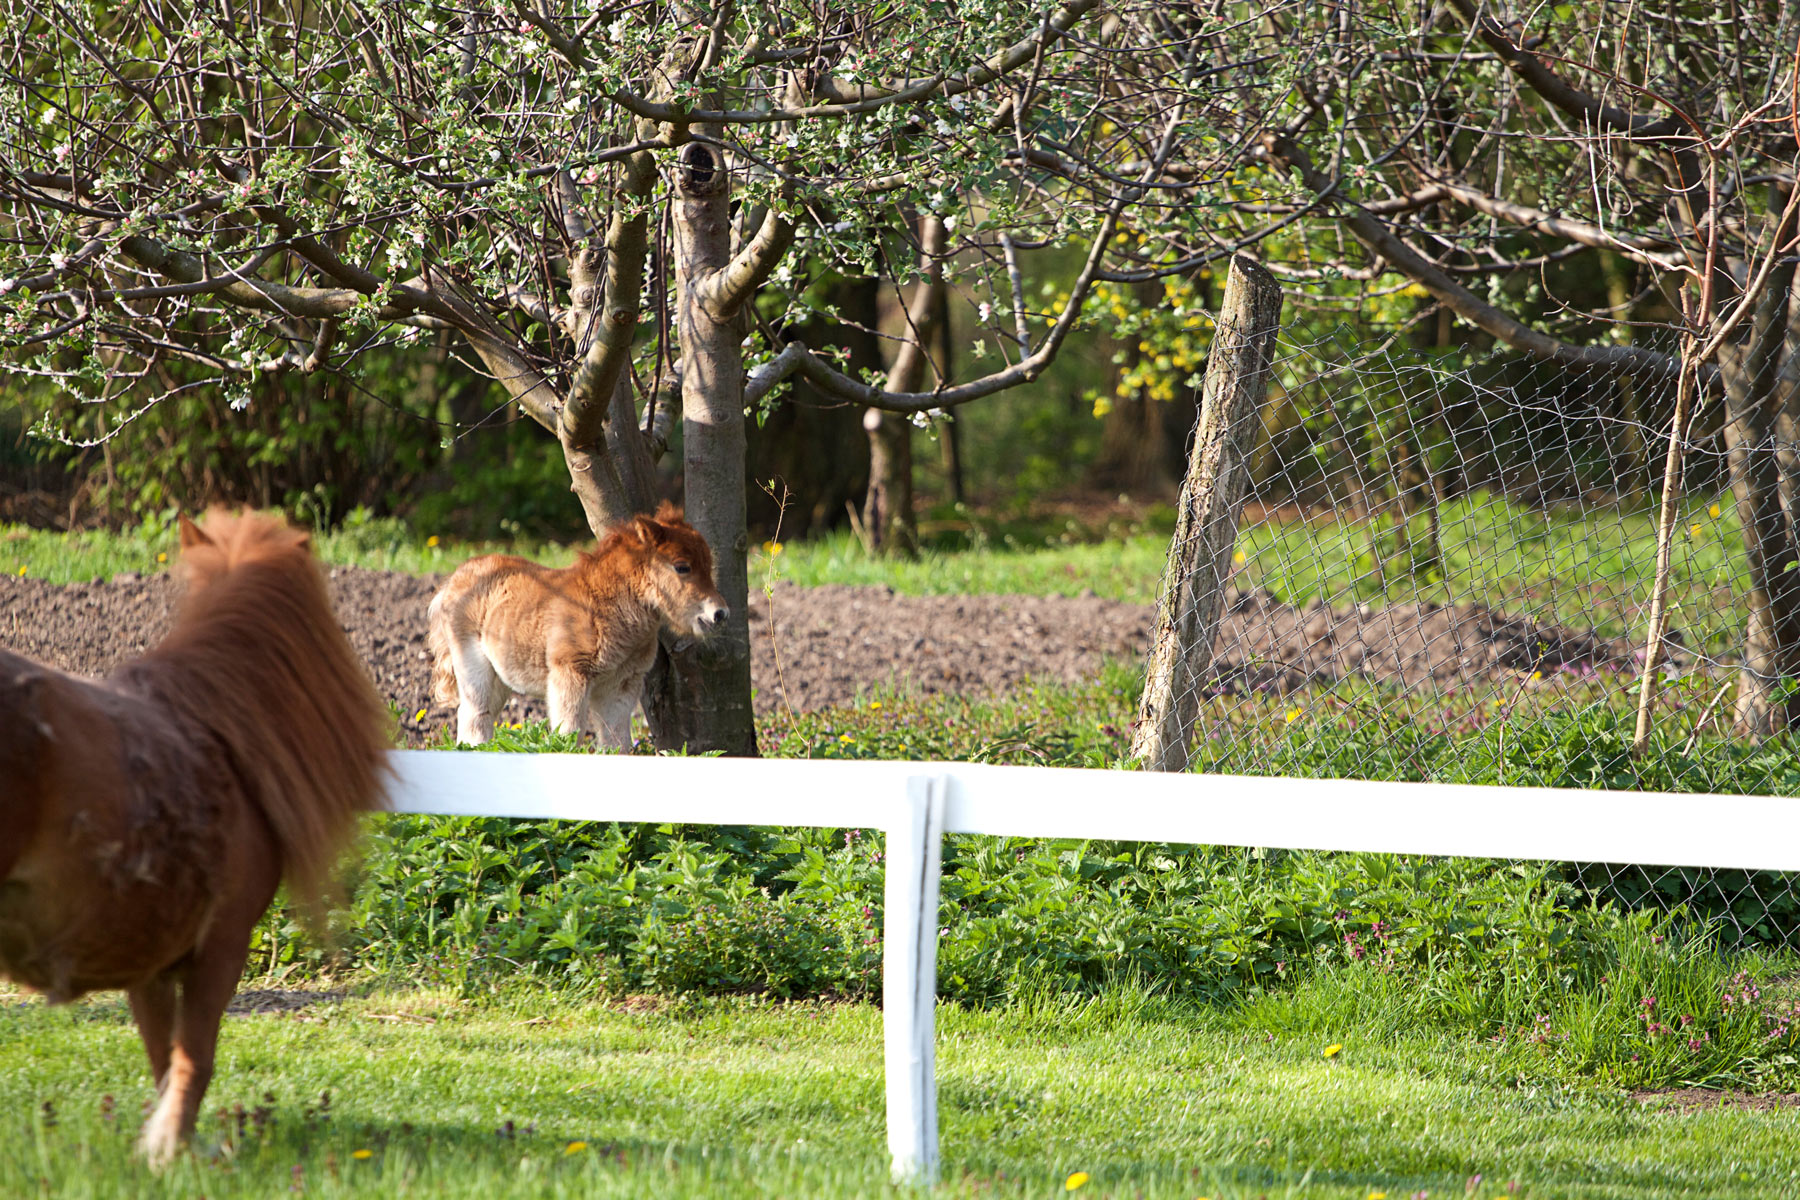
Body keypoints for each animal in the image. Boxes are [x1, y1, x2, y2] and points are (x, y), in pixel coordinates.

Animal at [424, 500, 727, 744]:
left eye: (708, 564)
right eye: (682, 567)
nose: (720, 614)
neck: (604, 608)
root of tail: (454, 579)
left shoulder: (621, 685)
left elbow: (617, 742)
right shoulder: (570, 675)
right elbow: (569, 735)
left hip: (501, 679)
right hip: (474, 670)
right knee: (474, 719)